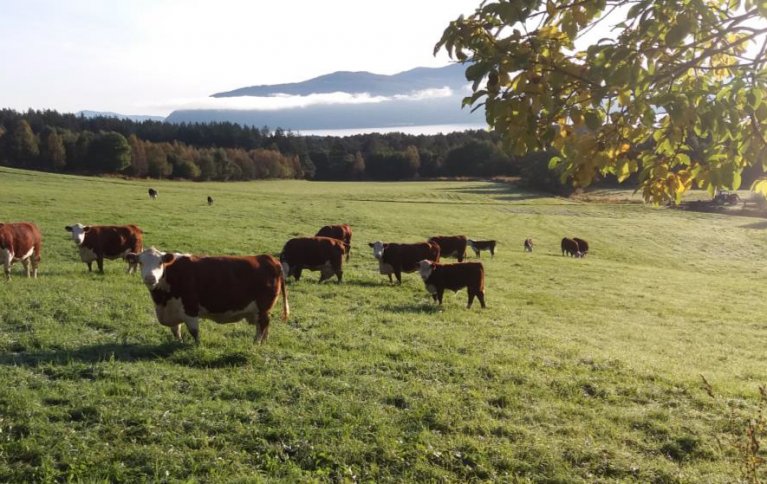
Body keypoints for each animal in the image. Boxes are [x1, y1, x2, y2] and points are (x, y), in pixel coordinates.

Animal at [126, 246, 288, 344]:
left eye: (160, 263)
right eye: (140, 262)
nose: (150, 278)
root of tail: (269, 258)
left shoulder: (190, 307)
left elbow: (194, 331)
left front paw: (196, 345)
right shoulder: (173, 310)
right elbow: (175, 330)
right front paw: (179, 342)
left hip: (263, 308)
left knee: (263, 325)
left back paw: (255, 344)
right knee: (264, 326)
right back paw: (262, 343)